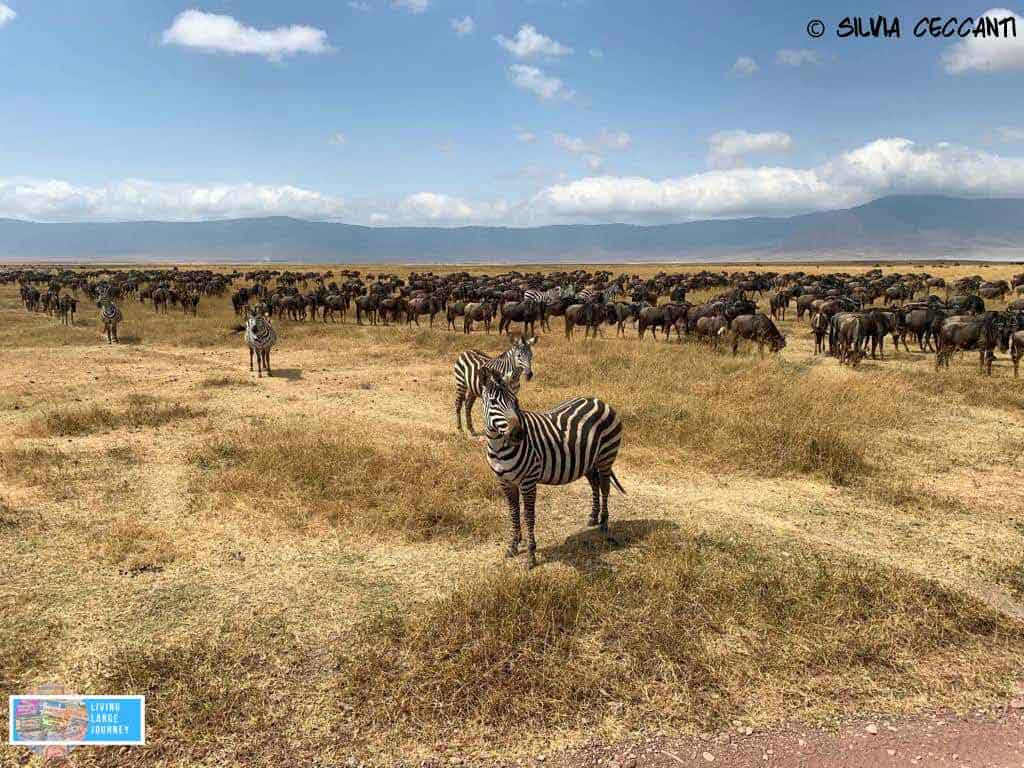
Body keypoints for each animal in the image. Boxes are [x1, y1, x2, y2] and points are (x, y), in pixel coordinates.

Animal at [477, 366, 622, 573]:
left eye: (516, 402)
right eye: (494, 402)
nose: (519, 434)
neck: (499, 447)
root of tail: (599, 400)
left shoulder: (528, 482)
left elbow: (529, 516)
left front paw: (531, 555)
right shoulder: (505, 481)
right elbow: (514, 513)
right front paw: (513, 545)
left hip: (605, 458)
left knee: (604, 488)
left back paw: (604, 523)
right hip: (587, 462)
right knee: (595, 485)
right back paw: (593, 518)